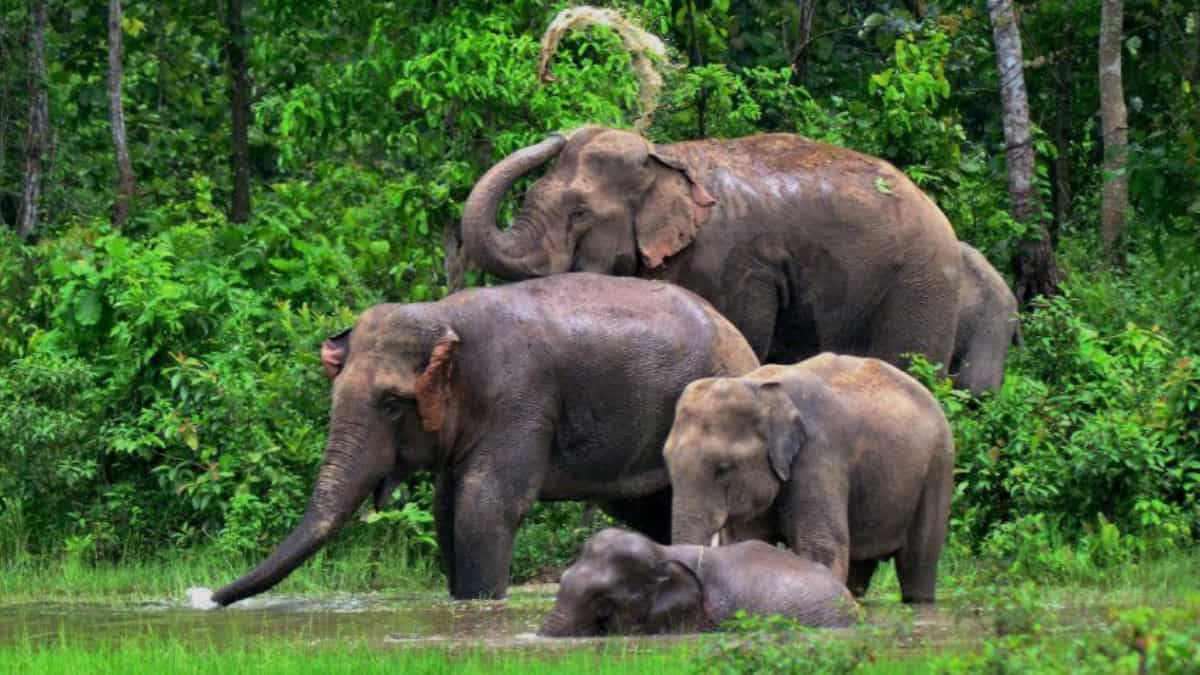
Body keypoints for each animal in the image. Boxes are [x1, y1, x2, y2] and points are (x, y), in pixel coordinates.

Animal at [210, 270, 753, 600]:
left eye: (391, 403)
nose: (208, 597)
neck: (444, 316)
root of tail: (738, 335)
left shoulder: (521, 397)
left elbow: (484, 505)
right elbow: (446, 508)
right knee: (650, 510)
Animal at [667, 355, 955, 600]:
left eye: (723, 468)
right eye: (667, 462)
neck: (758, 388)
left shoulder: (818, 454)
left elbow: (821, 548)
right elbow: (746, 545)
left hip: (938, 465)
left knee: (918, 560)